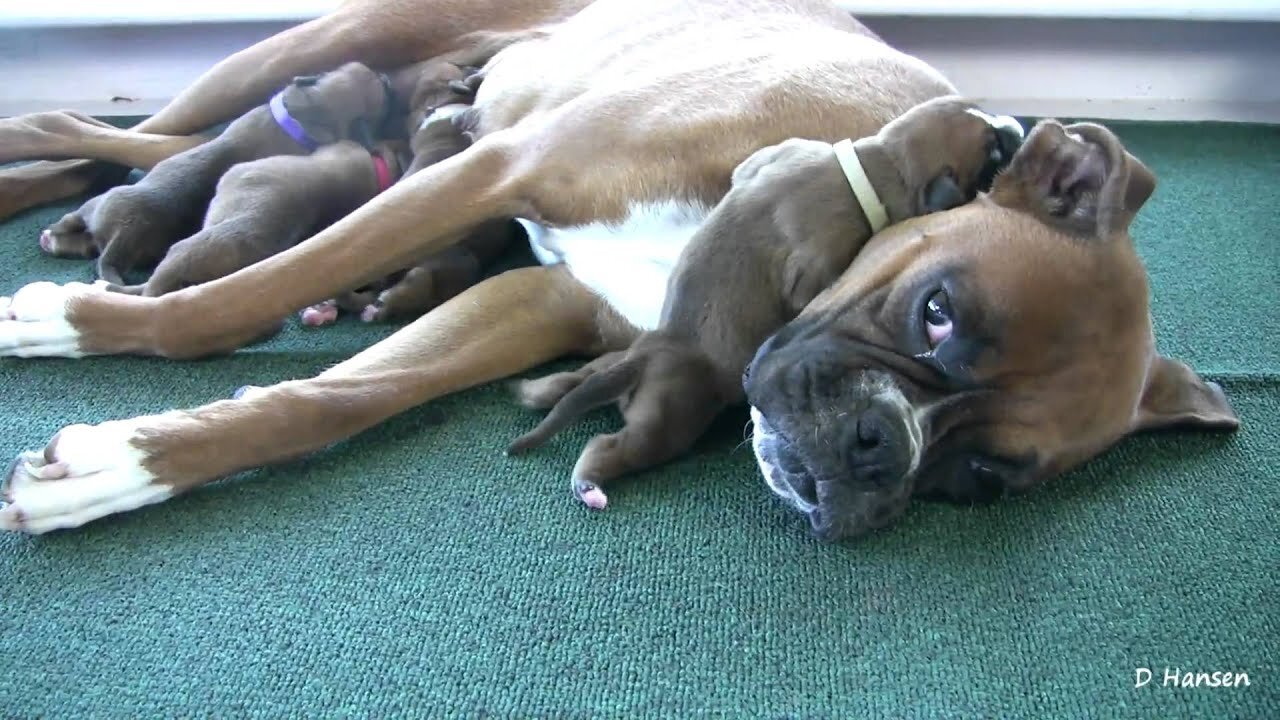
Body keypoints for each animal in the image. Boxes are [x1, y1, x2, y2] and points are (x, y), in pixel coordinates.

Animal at [504, 95, 1024, 509]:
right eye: (993, 150)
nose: (1019, 127)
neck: (876, 161)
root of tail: (657, 348)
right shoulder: (820, 258)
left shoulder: (772, 158)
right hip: (666, 420)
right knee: (612, 446)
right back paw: (590, 484)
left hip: (611, 366)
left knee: (570, 383)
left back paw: (533, 392)